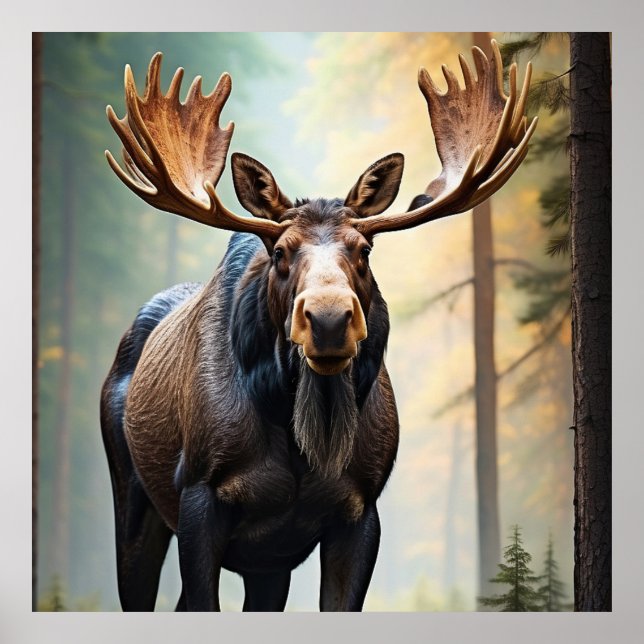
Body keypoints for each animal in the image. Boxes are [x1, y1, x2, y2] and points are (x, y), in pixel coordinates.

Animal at [100, 40, 536, 611]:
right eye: (280, 252)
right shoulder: (199, 494)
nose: (329, 319)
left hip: (265, 565)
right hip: (133, 497)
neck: (300, 437)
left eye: (364, 250)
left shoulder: (359, 510)